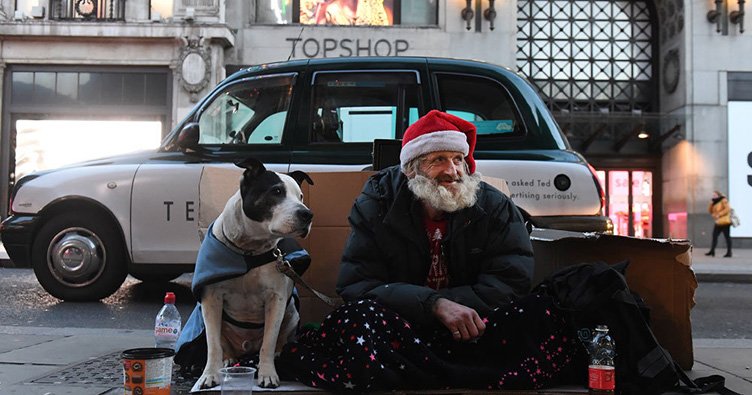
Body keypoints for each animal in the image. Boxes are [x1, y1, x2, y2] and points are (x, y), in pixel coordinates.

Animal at [195, 158, 312, 390]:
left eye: (301, 196)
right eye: (277, 191)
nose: (307, 214)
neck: (249, 250)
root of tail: (246, 347)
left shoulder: (276, 300)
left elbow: (268, 341)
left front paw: (267, 374)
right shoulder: (211, 300)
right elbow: (213, 344)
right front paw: (209, 375)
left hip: (292, 314)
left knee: (277, 340)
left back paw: (277, 353)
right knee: (223, 345)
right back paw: (229, 359)